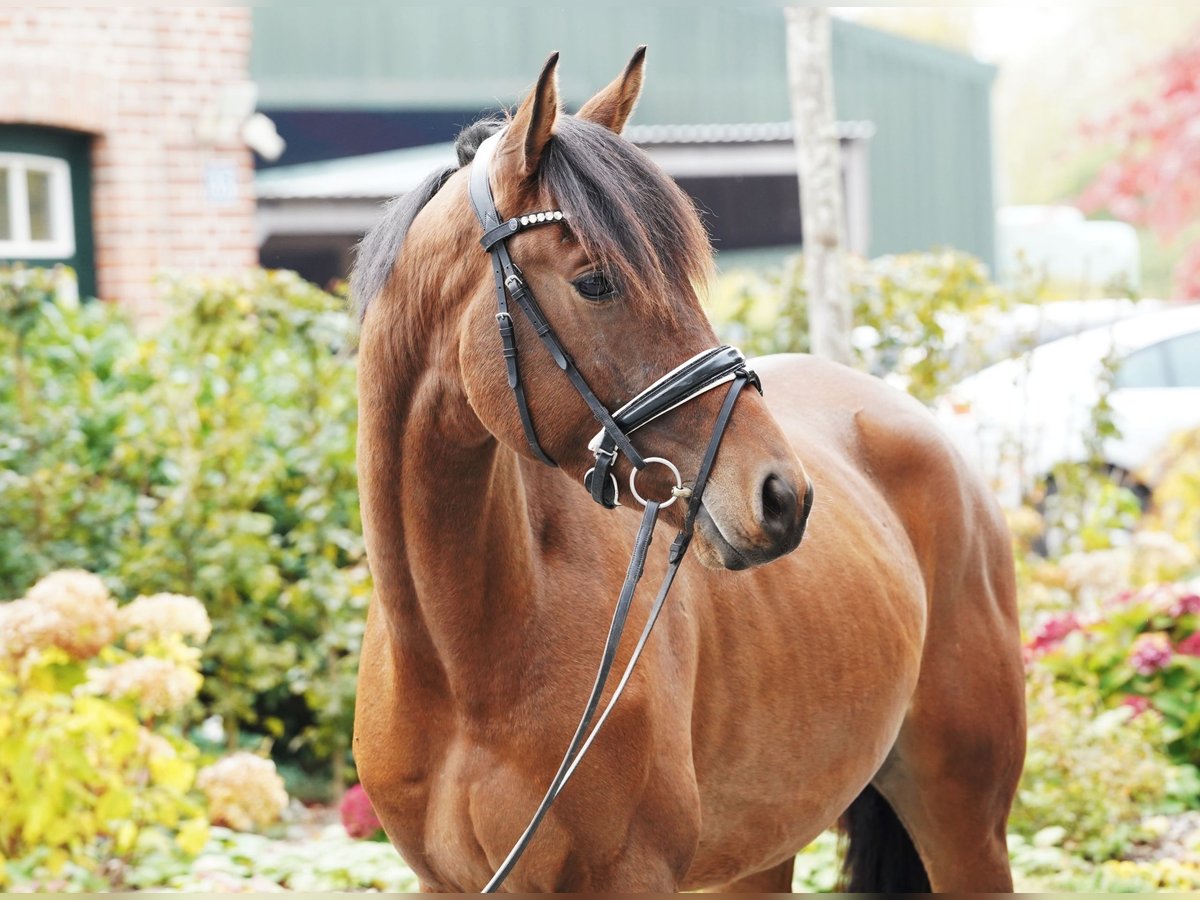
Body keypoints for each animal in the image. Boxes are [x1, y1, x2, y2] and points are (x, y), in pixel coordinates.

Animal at [350, 49, 1027, 897]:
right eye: (596, 280)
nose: (782, 496)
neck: (464, 664)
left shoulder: (630, 876)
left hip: (966, 826)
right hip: (764, 851)